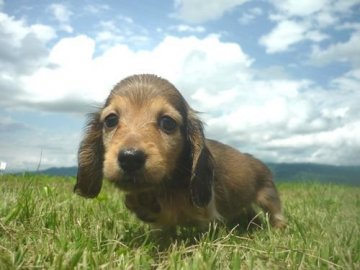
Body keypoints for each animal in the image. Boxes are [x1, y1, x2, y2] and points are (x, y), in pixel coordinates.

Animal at [74, 74, 286, 230]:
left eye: (167, 122)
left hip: (268, 195)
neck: (170, 183)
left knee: (276, 214)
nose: (130, 158)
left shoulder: (206, 215)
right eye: (110, 120)